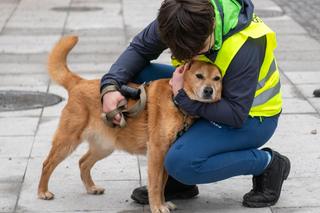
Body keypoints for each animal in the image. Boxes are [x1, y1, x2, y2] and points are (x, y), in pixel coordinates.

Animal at [37, 35, 221, 212]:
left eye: (217, 78)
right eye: (199, 76)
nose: (209, 90)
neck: (175, 99)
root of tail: (79, 82)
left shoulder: (165, 156)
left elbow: (162, 184)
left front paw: (163, 203)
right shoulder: (157, 151)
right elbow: (155, 185)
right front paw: (156, 206)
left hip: (104, 146)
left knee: (83, 162)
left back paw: (91, 187)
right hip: (67, 141)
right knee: (47, 163)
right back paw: (42, 192)